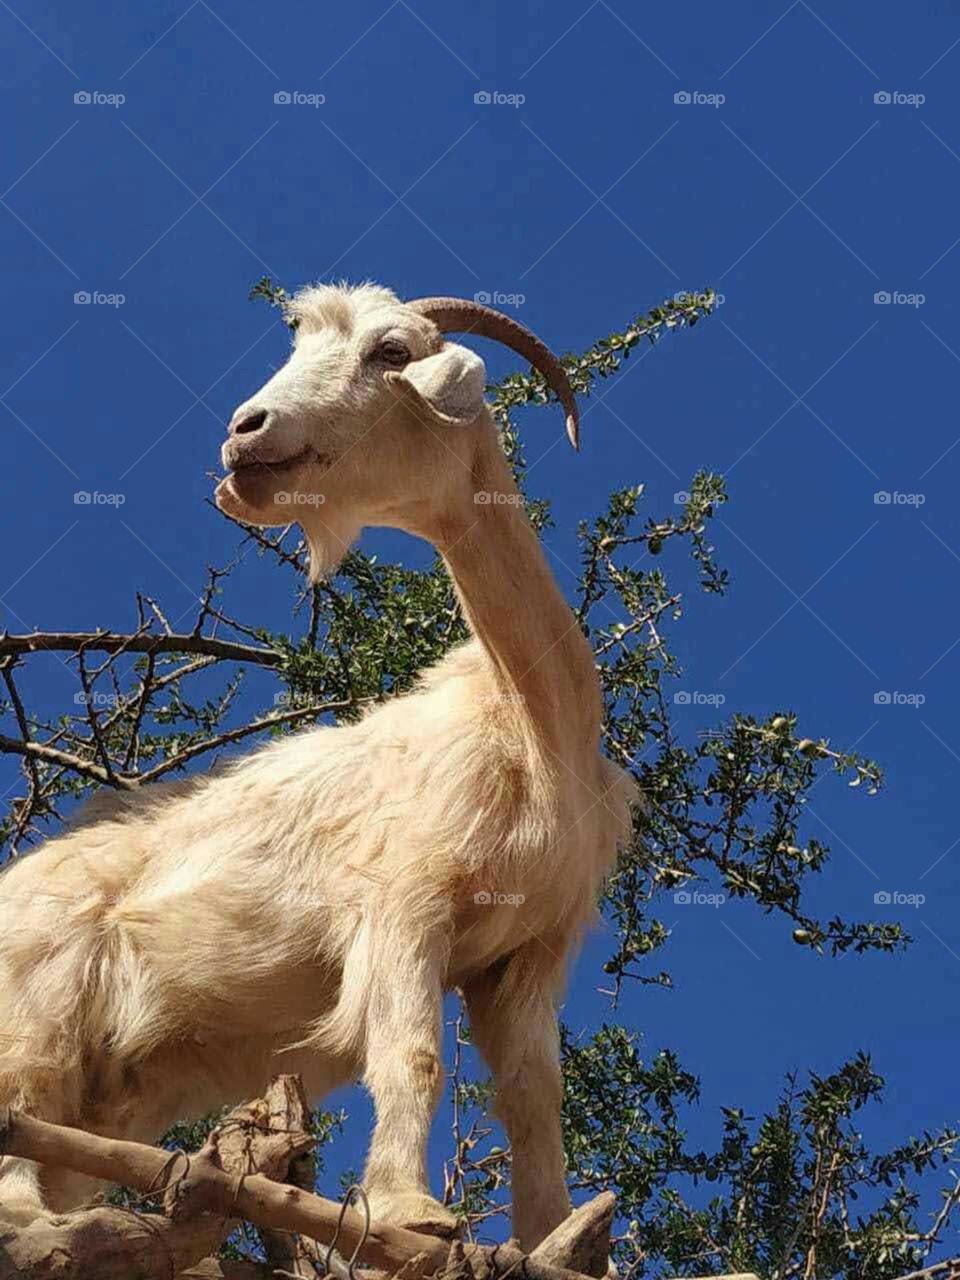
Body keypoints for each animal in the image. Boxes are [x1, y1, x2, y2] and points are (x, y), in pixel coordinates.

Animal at [0, 284, 636, 1248]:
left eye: (391, 351)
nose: (243, 431)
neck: (533, 726)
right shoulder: (404, 904)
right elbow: (412, 1056)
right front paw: (412, 1215)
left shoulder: (527, 953)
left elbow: (535, 1104)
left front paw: (553, 1241)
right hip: (34, 1012)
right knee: (19, 1127)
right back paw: (44, 1226)